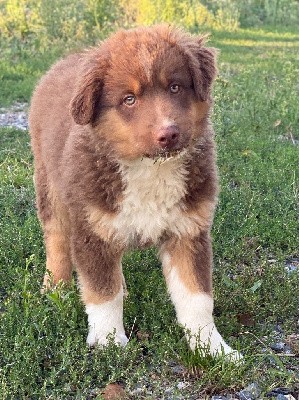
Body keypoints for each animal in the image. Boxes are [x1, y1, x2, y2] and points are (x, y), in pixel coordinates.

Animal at [29, 23, 241, 358]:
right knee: (57, 241)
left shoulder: (188, 230)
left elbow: (197, 298)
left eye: (175, 87)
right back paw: (56, 289)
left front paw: (212, 348)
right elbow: (103, 292)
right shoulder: (92, 230)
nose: (169, 134)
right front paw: (109, 341)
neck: (149, 168)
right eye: (129, 99)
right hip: (51, 188)